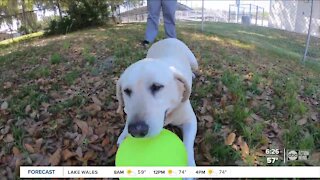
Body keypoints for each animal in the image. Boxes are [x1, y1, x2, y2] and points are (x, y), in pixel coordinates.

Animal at [116, 38, 198, 166]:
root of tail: (168, 39)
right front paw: (124, 134)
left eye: (157, 87)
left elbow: (188, 145)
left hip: (194, 62)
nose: (137, 130)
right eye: (127, 91)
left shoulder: (191, 120)